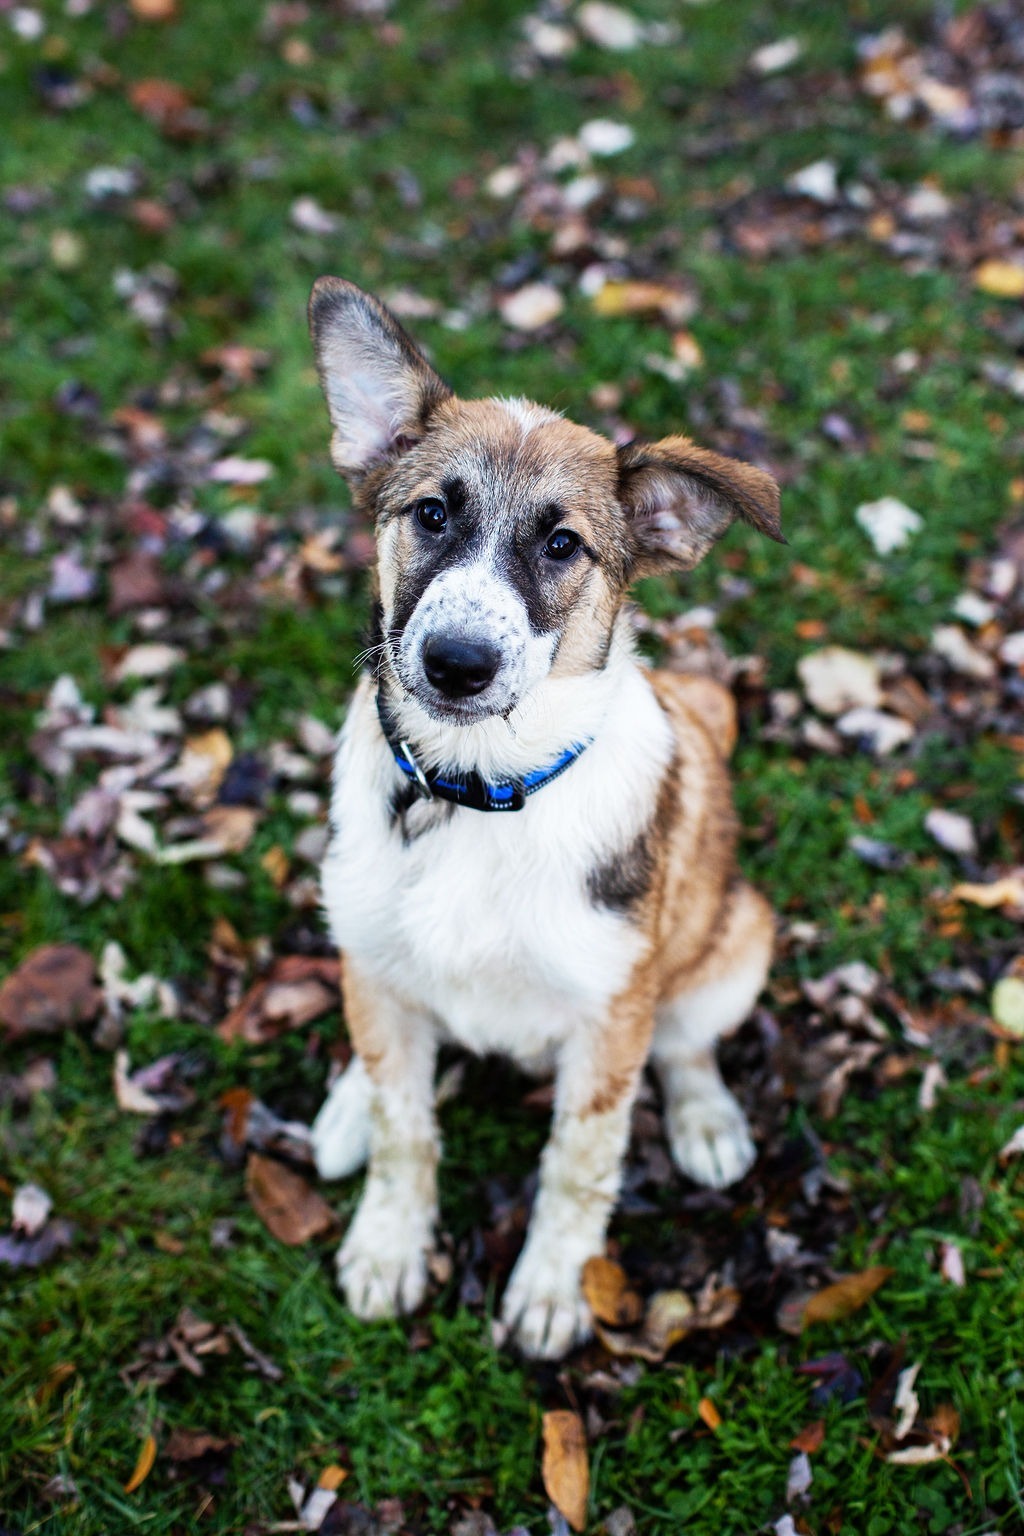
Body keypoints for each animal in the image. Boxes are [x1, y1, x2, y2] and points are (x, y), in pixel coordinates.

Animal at [308, 276, 779, 1357]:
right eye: (432, 513)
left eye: (562, 544)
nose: (456, 664)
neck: (477, 793)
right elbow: (404, 1127)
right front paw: (388, 1245)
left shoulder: (609, 1020)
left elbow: (578, 1163)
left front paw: (554, 1291)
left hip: (739, 938)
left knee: (687, 1041)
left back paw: (706, 1120)